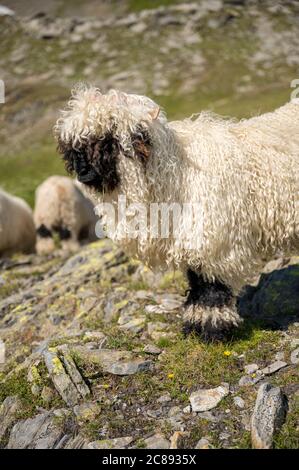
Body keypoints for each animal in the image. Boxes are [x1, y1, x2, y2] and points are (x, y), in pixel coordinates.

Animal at [55, 85, 299, 338]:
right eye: (74, 146)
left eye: (107, 141)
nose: (83, 173)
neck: (177, 175)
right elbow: (197, 281)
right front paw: (196, 325)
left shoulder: (214, 241)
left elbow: (211, 287)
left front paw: (212, 329)